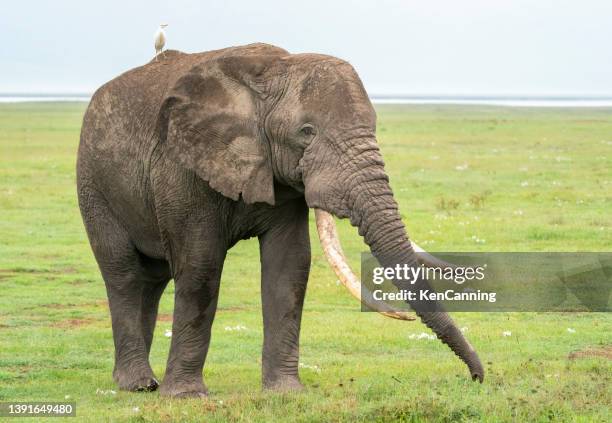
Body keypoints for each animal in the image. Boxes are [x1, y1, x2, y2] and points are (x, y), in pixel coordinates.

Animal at [76, 43, 482, 398]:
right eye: (306, 132)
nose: (477, 377)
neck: (269, 72)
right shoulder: (181, 165)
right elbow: (200, 265)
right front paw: (186, 396)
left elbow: (290, 264)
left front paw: (286, 392)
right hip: (93, 184)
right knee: (124, 274)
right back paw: (138, 384)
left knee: (153, 280)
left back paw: (138, 383)